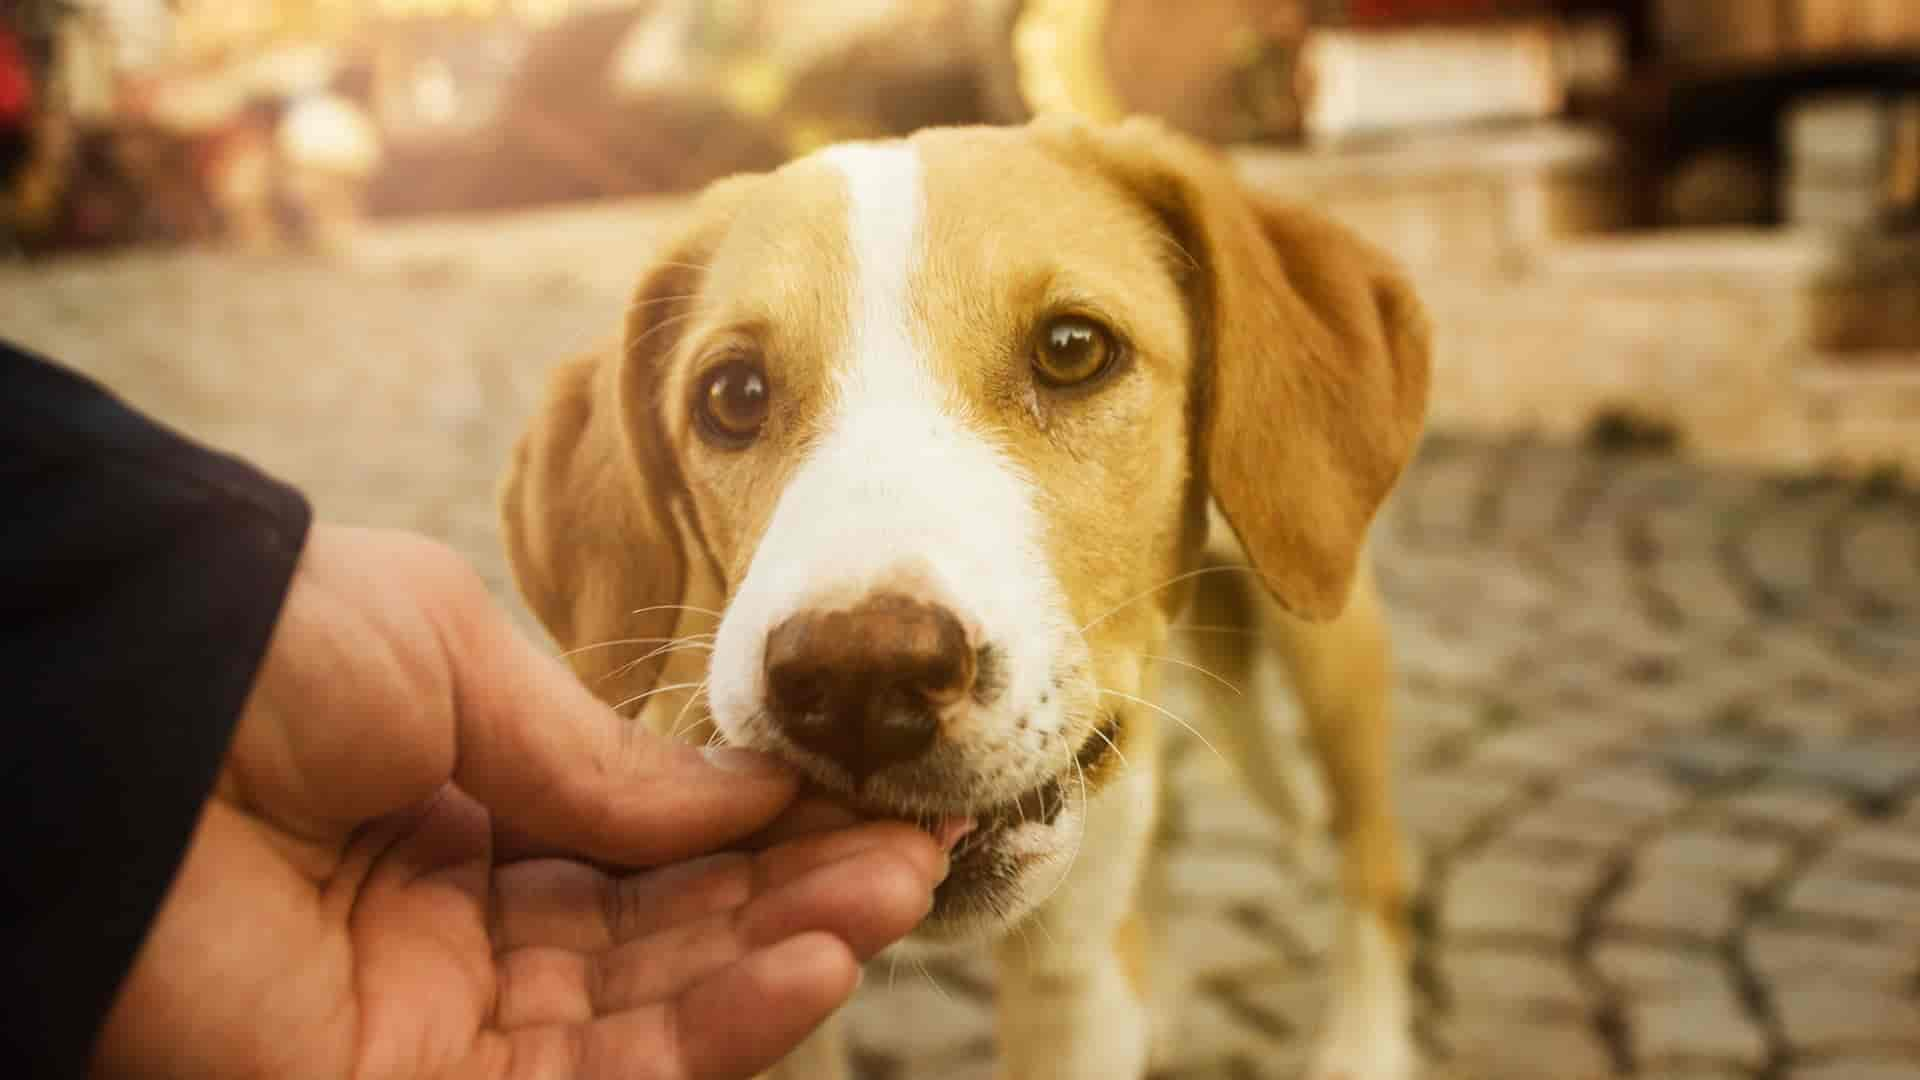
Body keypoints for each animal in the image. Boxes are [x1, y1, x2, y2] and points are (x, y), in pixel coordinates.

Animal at [503, 113, 1436, 1068]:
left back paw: (1363, 1046)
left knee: (1373, 852)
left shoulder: (1069, 972)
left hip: (1329, 632)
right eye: (732, 394)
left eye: (1073, 349)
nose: (859, 680)